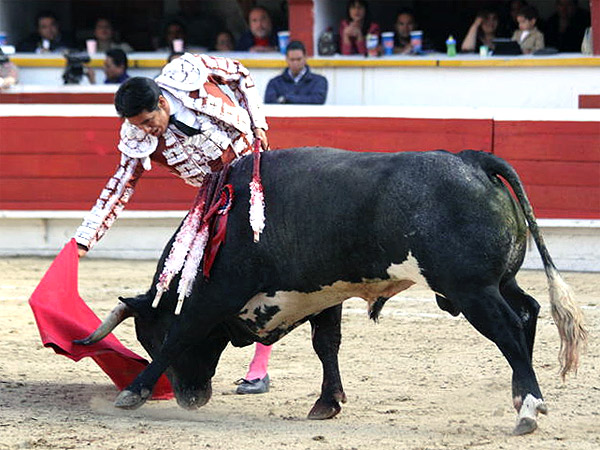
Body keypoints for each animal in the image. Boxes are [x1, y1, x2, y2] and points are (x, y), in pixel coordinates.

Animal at [77, 148, 588, 436]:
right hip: (498, 281)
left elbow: (183, 331)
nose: (190, 398)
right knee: (528, 312)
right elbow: (327, 344)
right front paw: (327, 404)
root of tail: (472, 159)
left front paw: (134, 392)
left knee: (508, 328)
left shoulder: (216, 294)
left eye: (149, 336)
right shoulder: (324, 294)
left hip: (471, 290)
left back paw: (527, 409)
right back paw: (523, 396)